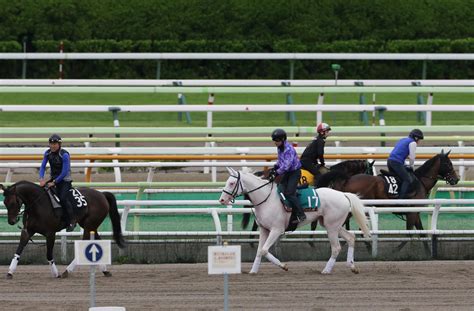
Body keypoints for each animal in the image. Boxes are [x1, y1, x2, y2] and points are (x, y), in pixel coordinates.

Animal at [218, 168, 370, 276]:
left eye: (231, 183)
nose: (222, 200)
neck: (266, 199)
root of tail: (343, 194)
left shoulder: (276, 230)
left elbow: (264, 250)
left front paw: (283, 266)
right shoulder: (264, 229)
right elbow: (259, 251)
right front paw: (253, 271)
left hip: (332, 226)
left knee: (336, 247)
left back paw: (326, 270)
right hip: (332, 224)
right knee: (351, 238)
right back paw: (352, 266)